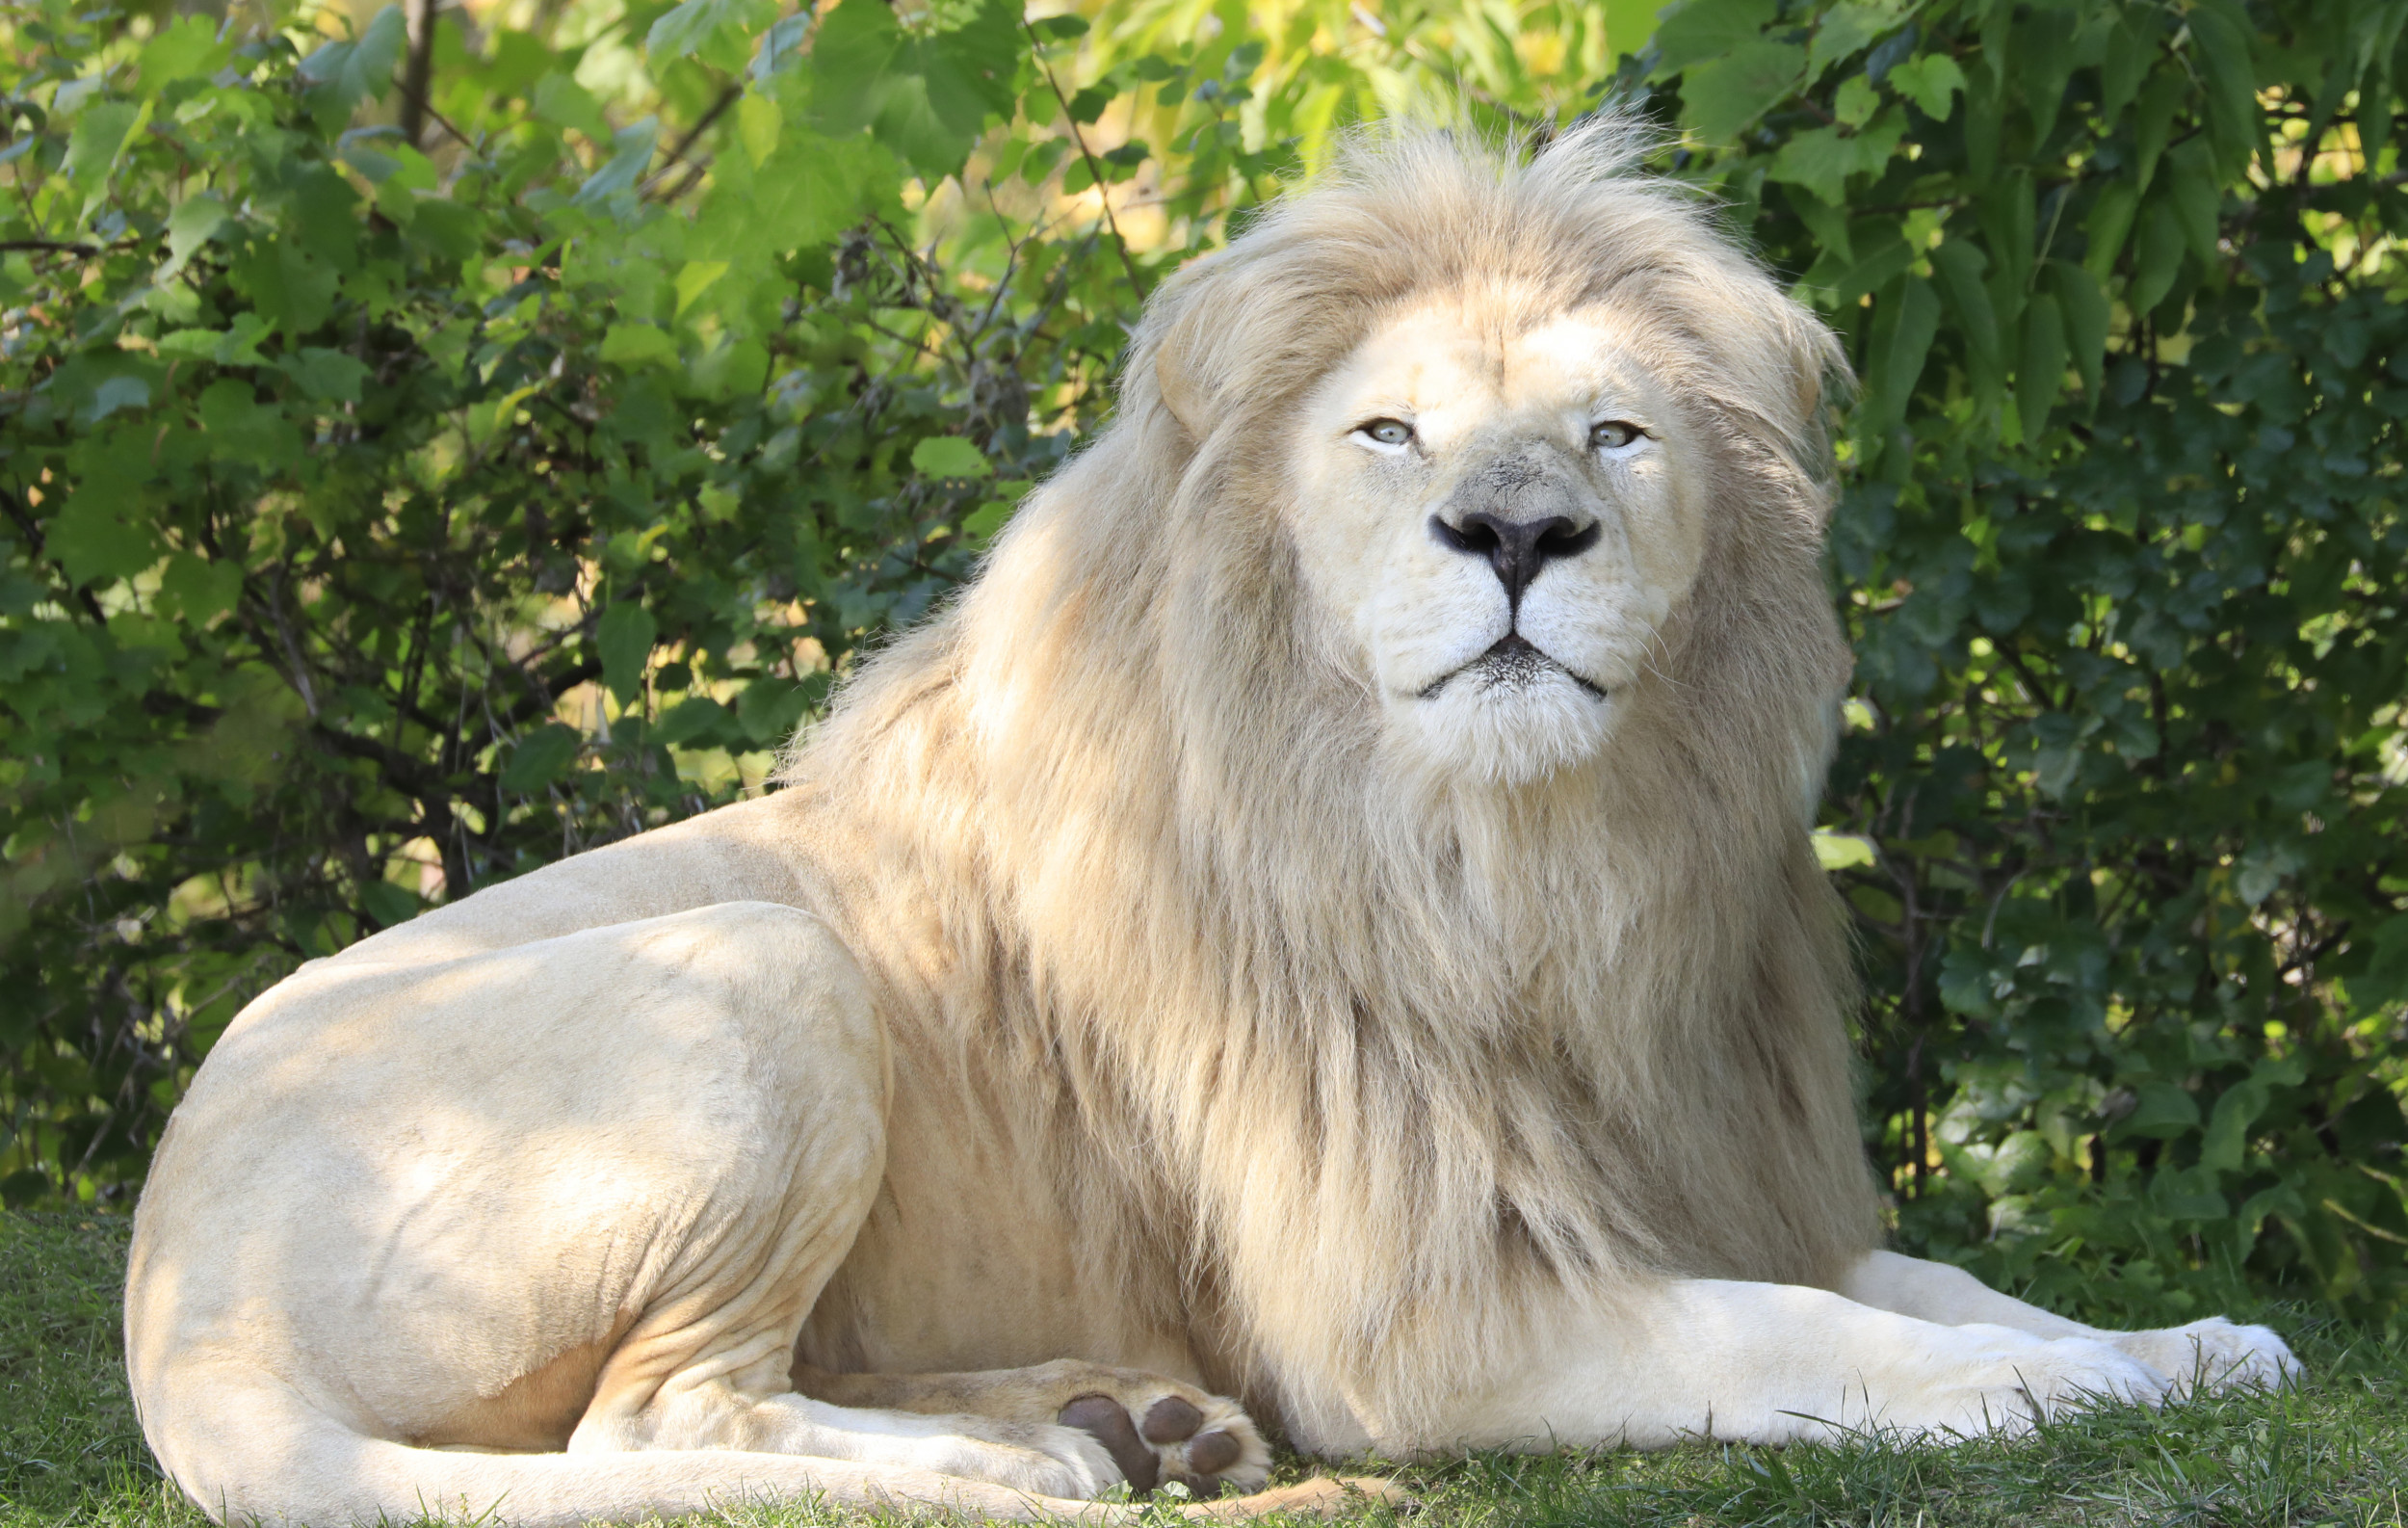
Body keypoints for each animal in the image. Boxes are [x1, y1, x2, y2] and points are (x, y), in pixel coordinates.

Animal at [126, 121, 2292, 1522]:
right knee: (653, 1427)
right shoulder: (1422, 1325)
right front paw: (2058, 1381)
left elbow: (1916, 1284)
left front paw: (2185, 1341)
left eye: (1614, 432)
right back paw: (1023, 1460)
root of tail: (180, 1310)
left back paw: (1130, 1414)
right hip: (755, 967)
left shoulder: (1701, 1172)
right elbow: (1803, 1343)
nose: (1518, 532)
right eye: (1390, 433)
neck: (1524, 877)